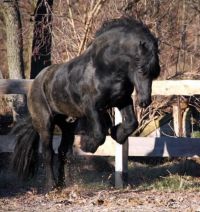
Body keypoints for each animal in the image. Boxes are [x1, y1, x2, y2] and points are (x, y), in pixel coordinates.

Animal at [12, 17, 159, 191]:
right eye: (141, 70)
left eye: (156, 73)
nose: (144, 101)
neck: (105, 67)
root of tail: (35, 83)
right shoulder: (91, 107)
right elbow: (100, 133)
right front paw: (87, 146)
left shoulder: (122, 100)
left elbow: (131, 123)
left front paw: (117, 134)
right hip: (45, 124)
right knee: (48, 153)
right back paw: (52, 185)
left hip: (68, 126)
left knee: (62, 152)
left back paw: (62, 183)